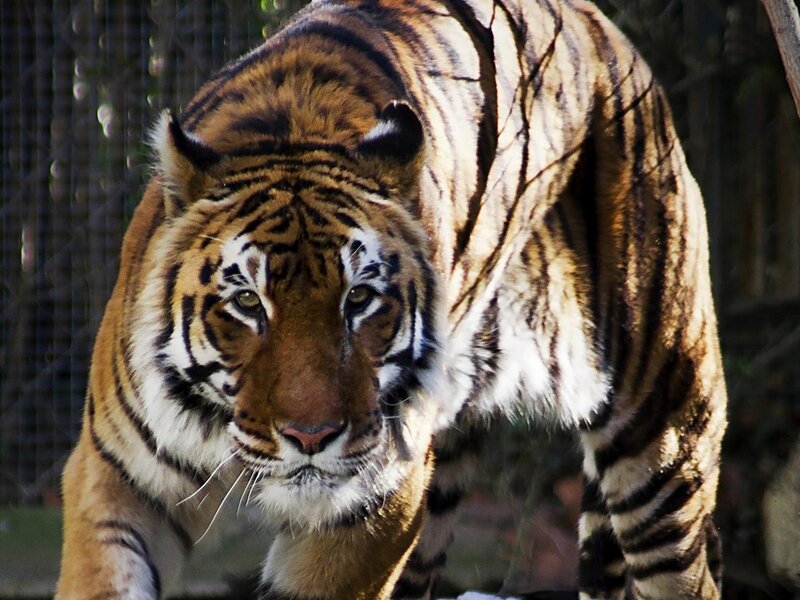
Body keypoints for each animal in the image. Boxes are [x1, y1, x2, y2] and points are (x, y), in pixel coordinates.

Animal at [56, 0, 727, 599]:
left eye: (359, 299)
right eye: (247, 302)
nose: (310, 438)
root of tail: (602, 29)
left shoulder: (376, 500)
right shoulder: (113, 475)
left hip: (663, 431)